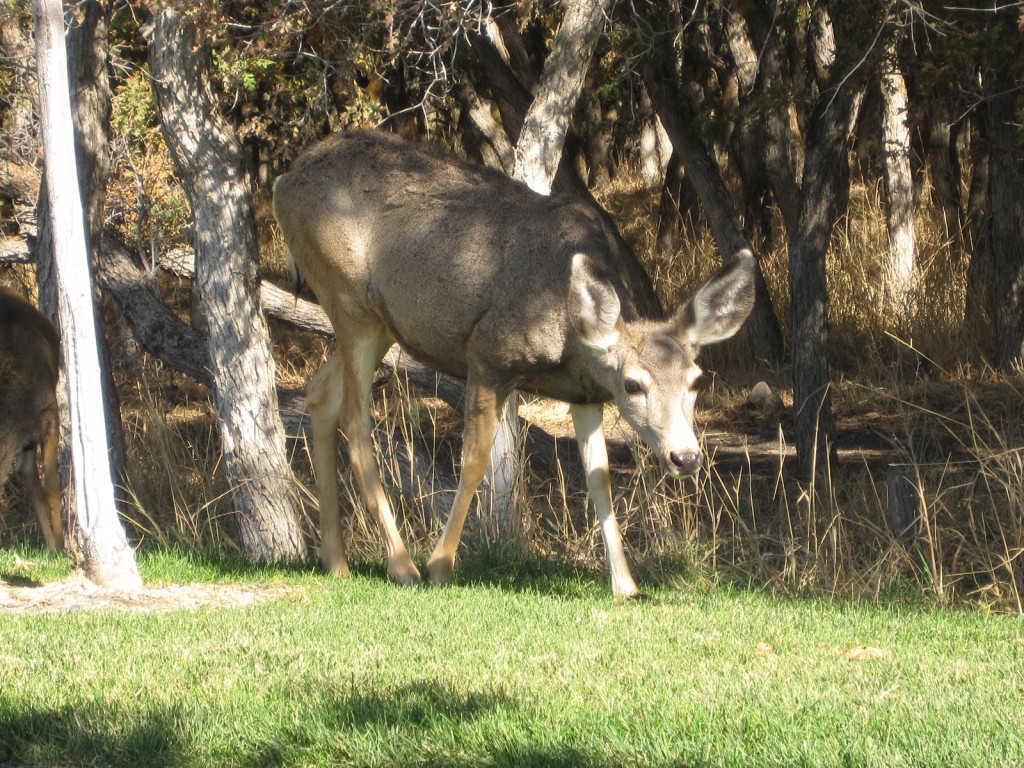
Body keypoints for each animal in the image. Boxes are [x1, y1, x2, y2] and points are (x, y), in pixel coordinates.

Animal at [276, 131, 757, 602]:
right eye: (633, 385)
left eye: (696, 381)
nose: (686, 457)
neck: (568, 335)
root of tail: (284, 180)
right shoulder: (488, 354)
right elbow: (474, 461)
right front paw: (440, 565)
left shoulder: (585, 394)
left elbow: (599, 478)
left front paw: (625, 585)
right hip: (347, 297)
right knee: (357, 424)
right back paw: (403, 566)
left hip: (378, 323)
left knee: (320, 395)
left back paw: (336, 562)